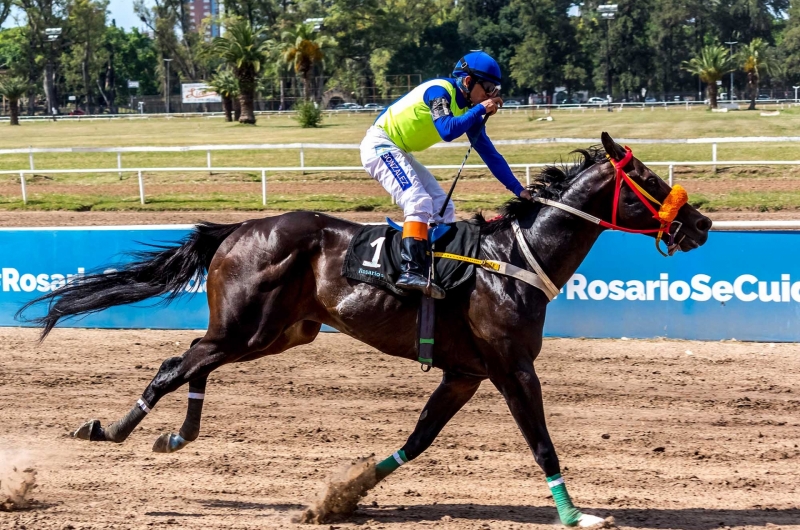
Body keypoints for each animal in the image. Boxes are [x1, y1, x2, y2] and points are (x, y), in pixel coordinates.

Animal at [21, 135, 712, 524]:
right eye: (647, 180)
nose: (701, 224)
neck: (512, 260)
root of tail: (238, 228)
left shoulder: (465, 374)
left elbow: (420, 438)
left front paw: (343, 496)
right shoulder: (512, 369)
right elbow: (541, 442)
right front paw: (575, 516)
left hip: (277, 332)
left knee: (197, 360)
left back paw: (176, 435)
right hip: (250, 328)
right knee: (175, 365)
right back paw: (111, 429)